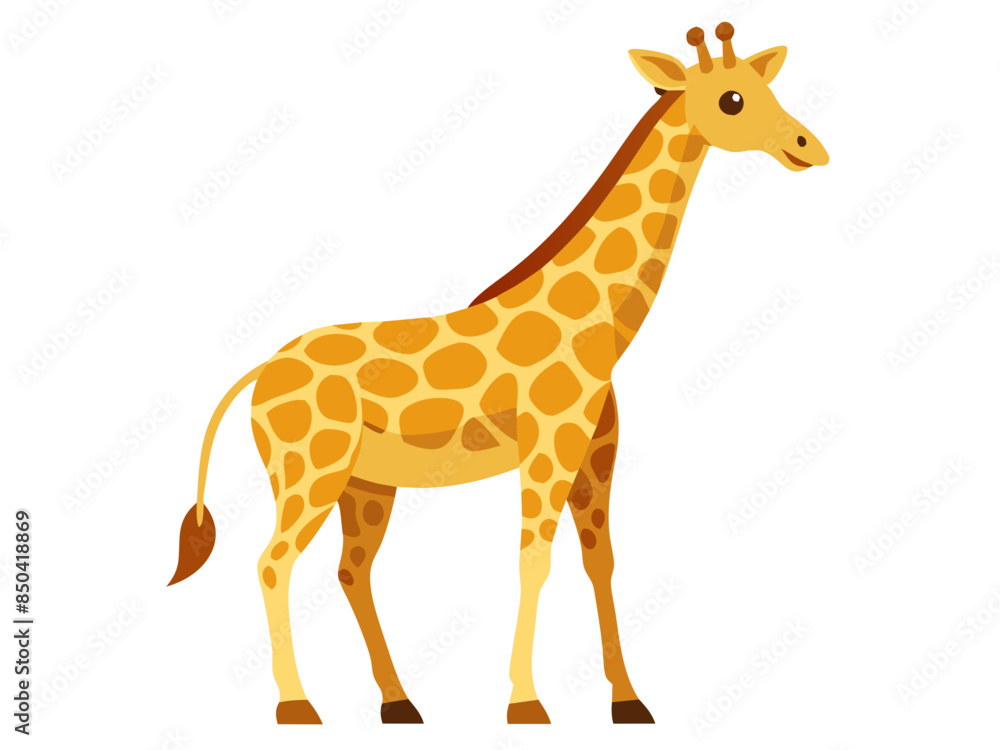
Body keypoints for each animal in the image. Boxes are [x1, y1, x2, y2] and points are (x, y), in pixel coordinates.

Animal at [168, 24, 828, 726]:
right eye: (732, 100)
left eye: (765, 86)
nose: (808, 147)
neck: (603, 326)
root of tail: (260, 372)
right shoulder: (547, 444)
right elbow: (532, 559)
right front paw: (526, 703)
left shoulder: (595, 452)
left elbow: (600, 561)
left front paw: (628, 700)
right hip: (309, 468)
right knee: (272, 563)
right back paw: (298, 705)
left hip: (364, 483)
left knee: (351, 570)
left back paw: (399, 702)